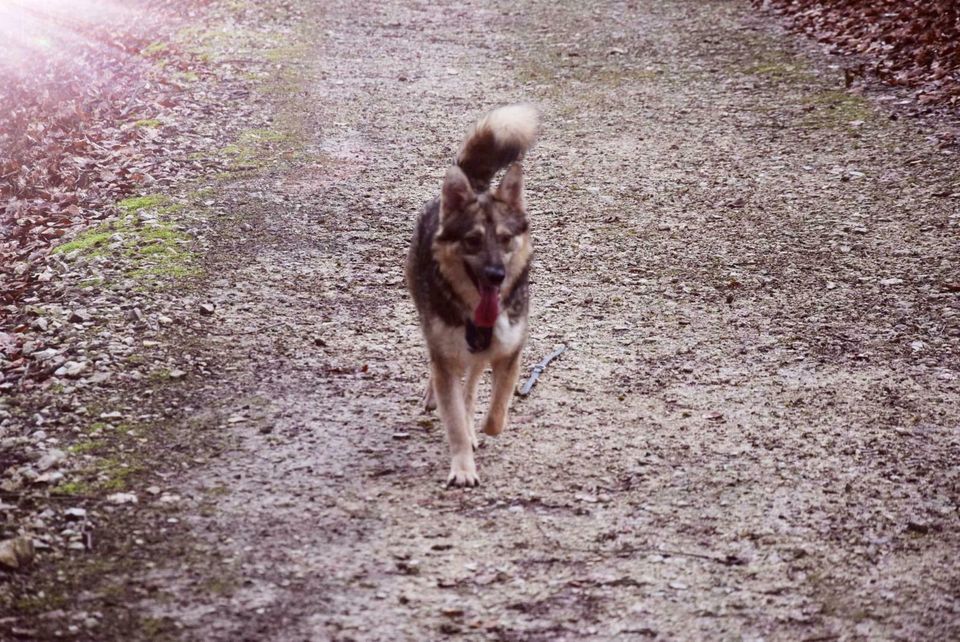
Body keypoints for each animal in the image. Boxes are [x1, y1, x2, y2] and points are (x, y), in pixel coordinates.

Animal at [404, 105, 540, 484]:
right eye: (473, 241)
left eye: (506, 238)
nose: (496, 276)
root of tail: (477, 186)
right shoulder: (446, 359)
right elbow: (454, 423)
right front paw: (463, 469)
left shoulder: (508, 352)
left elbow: (495, 412)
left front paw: (481, 427)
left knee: (473, 383)